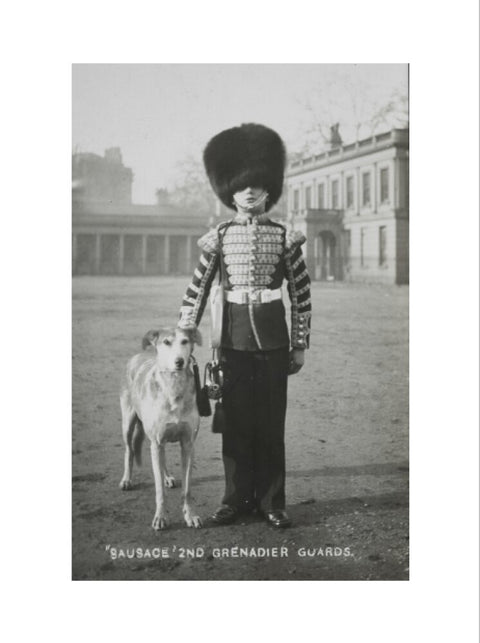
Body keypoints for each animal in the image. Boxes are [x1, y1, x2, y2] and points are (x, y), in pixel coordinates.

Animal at [121, 324, 203, 532]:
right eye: (166, 342)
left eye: (185, 341)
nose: (179, 361)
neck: (174, 387)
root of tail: (140, 355)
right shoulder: (157, 442)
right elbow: (159, 491)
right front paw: (160, 518)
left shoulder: (188, 444)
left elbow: (187, 489)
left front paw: (190, 516)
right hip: (128, 423)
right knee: (129, 450)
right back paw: (126, 479)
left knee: (162, 459)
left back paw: (167, 477)